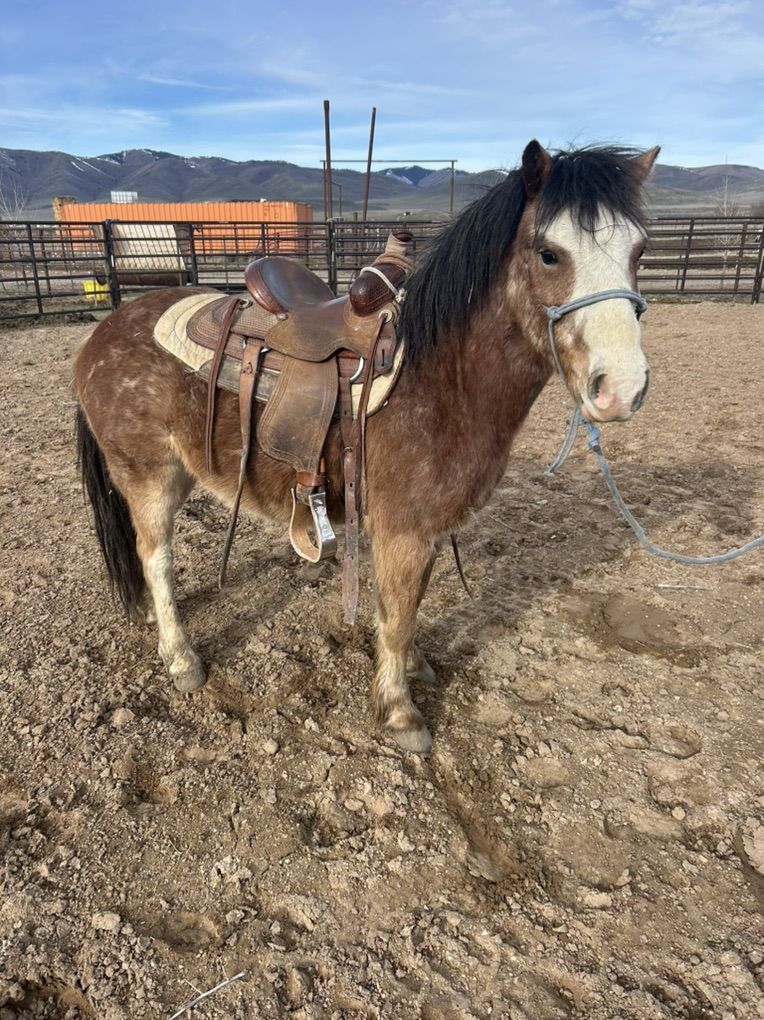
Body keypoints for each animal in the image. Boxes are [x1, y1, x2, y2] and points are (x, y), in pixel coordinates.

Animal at [74, 140, 659, 753]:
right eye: (549, 254)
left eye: (640, 250)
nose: (621, 389)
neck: (440, 377)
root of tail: (104, 331)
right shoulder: (403, 532)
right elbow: (398, 618)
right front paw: (400, 711)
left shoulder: (427, 532)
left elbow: (410, 607)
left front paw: (415, 668)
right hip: (148, 475)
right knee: (156, 556)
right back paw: (182, 658)